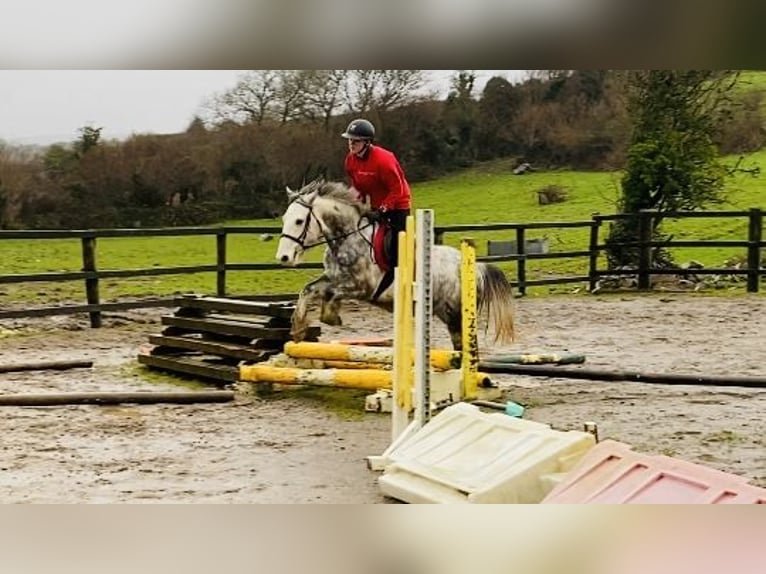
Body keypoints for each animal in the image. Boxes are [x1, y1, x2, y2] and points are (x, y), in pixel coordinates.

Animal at [276, 179, 516, 352]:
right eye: (285, 219)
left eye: (299, 221)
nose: (284, 257)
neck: (348, 237)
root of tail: (477, 269)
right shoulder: (333, 278)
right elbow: (309, 290)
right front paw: (298, 330)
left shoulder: (361, 287)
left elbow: (331, 294)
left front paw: (330, 316)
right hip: (445, 311)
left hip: (456, 313)